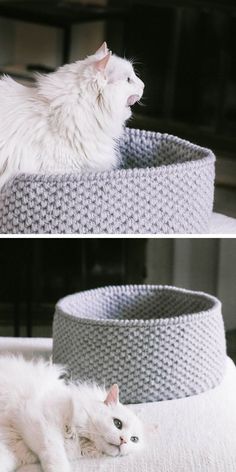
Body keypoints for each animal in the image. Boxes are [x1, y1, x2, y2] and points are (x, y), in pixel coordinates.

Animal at [0, 356, 144, 470]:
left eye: (134, 439)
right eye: (117, 423)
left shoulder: (12, 448)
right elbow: (56, 456)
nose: (124, 441)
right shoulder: (40, 423)